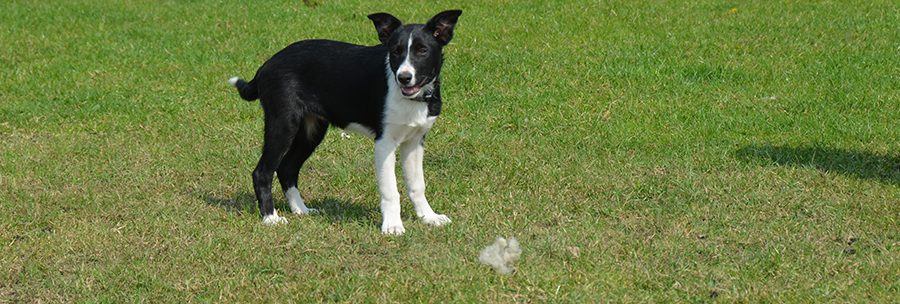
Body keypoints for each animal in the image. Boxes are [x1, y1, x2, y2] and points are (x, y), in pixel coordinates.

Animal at [225, 8, 464, 233]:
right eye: (395, 52)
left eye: (423, 51)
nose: (404, 78)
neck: (413, 100)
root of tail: (266, 64)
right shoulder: (384, 142)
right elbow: (390, 189)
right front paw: (393, 226)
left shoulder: (414, 142)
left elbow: (417, 185)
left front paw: (428, 217)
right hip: (283, 124)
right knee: (262, 171)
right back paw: (270, 217)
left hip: (311, 130)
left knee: (287, 168)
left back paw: (301, 210)